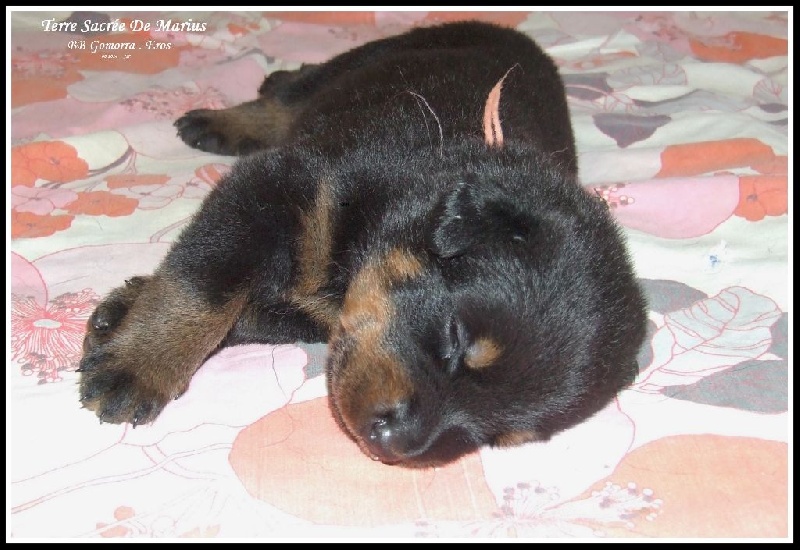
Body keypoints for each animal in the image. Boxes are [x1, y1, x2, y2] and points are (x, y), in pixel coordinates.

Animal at [78, 21, 648, 468]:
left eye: (498, 436)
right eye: (456, 337)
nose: (396, 444)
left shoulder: (311, 313)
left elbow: (248, 309)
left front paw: (122, 312)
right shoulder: (278, 184)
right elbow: (205, 284)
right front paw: (139, 366)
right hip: (365, 59)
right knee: (285, 95)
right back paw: (222, 119)